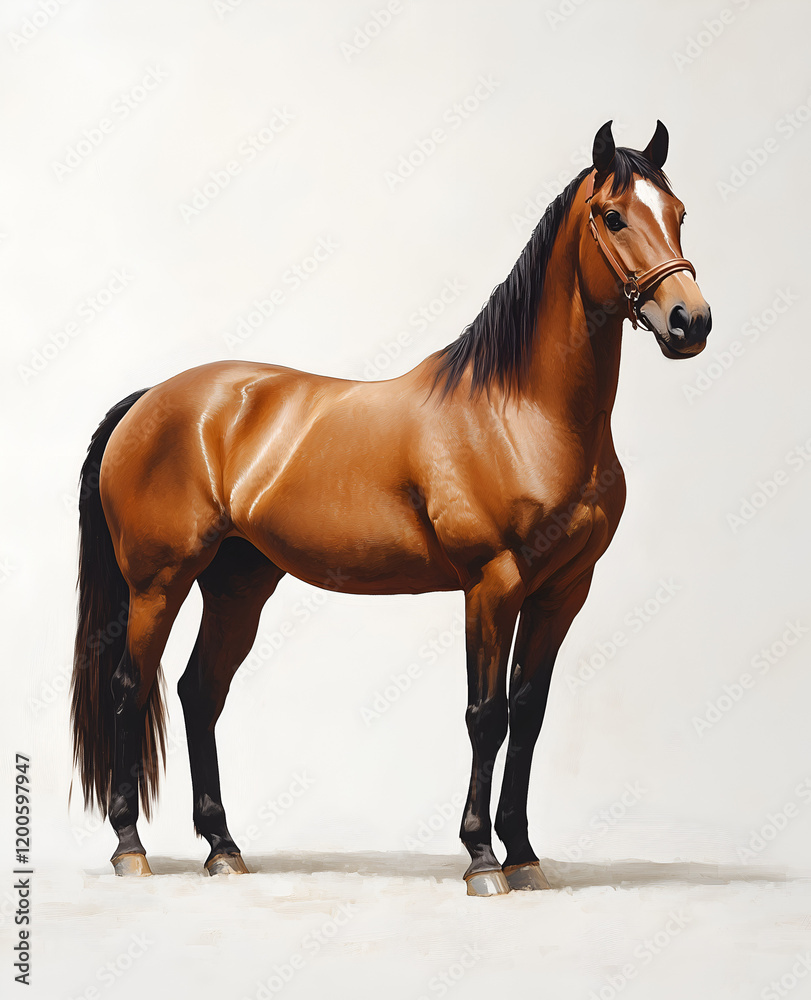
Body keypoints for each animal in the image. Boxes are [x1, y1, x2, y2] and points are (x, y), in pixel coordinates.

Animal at [70, 120, 711, 895]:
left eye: (678, 214)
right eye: (614, 216)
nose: (689, 321)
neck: (522, 412)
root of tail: (151, 400)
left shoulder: (563, 589)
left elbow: (528, 714)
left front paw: (524, 855)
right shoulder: (490, 585)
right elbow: (486, 715)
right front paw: (481, 860)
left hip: (237, 583)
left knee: (200, 692)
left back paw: (223, 848)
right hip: (157, 583)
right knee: (131, 689)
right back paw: (130, 848)